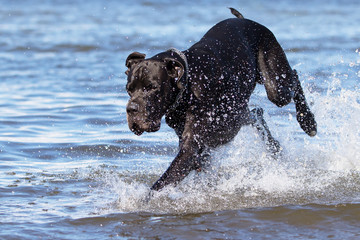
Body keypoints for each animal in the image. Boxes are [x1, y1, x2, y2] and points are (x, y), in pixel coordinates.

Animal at [125, 7, 316, 191]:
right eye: (128, 90)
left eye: (152, 88)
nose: (131, 109)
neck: (188, 86)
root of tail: (245, 20)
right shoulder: (197, 148)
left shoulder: (191, 147)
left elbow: (161, 183)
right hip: (239, 114)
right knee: (256, 114)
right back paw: (275, 146)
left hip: (276, 85)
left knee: (294, 78)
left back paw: (308, 122)